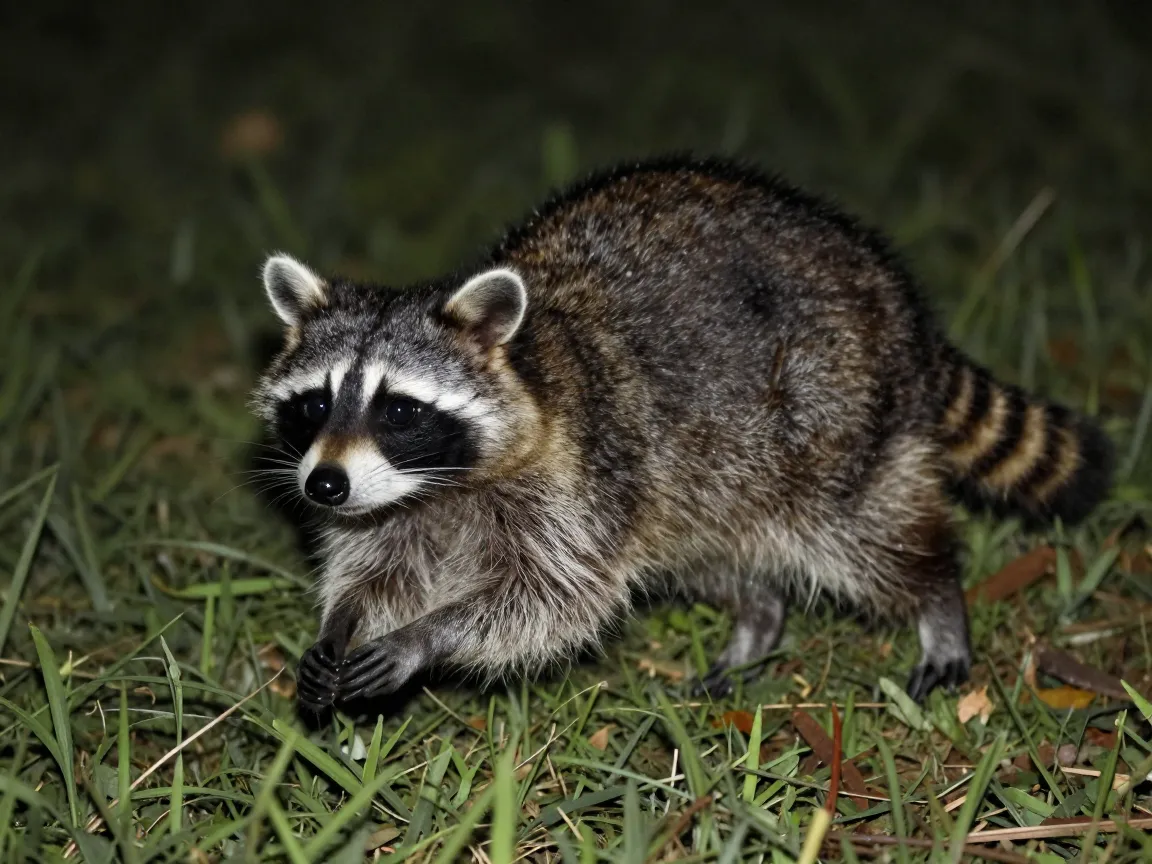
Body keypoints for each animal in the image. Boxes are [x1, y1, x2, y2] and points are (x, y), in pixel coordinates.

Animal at [251, 156, 1113, 713]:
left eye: (399, 410)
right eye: (313, 405)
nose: (323, 484)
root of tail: (895, 297)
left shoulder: (578, 482)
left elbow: (550, 600)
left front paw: (428, 636)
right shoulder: (394, 508)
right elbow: (376, 571)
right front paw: (343, 623)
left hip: (827, 419)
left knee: (864, 533)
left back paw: (935, 598)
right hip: (697, 479)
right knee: (703, 554)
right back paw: (757, 617)